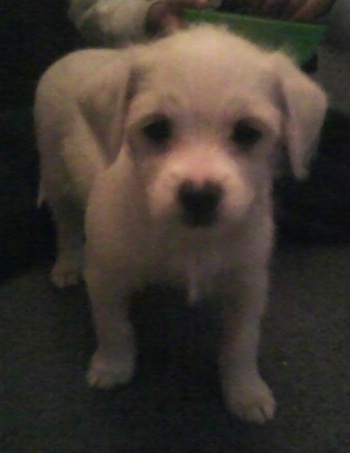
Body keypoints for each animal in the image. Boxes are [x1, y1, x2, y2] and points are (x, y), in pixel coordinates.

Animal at [34, 24, 326, 422]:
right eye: (157, 129)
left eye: (247, 132)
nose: (199, 196)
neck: (189, 240)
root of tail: (79, 53)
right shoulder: (105, 278)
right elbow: (114, 328)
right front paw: (112, 367)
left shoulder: (248, 285)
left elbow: (241, 344)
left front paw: (246, 391)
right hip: (54, 175)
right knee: (65, 226)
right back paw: (66, 265)